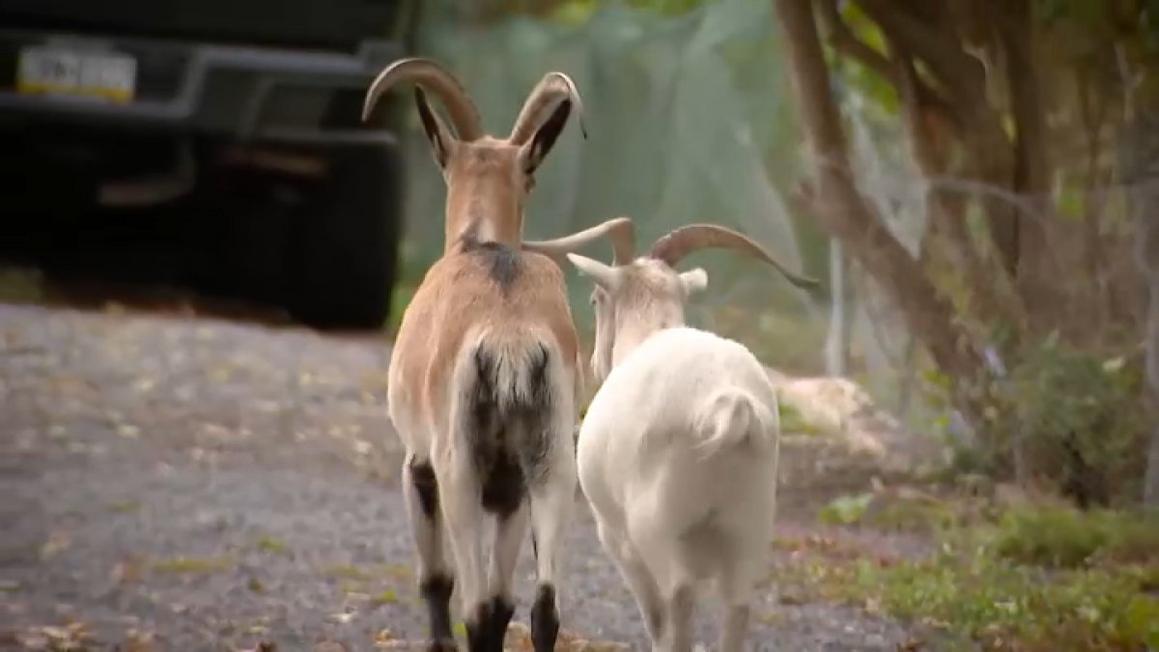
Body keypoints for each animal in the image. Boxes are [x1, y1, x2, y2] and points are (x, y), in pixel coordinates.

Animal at [362, 58, 635, 652]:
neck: (479, 247)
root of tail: (510, 338)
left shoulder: (420, 465)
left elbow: (438, 580)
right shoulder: (512, 489)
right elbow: (508, 602)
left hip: (460, 468)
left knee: (475, 603)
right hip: (553, 464)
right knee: (541, 606)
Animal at [560, 223, 818, 652]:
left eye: (596, 298)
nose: (594, 363)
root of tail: (729, 404)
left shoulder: (618, 538)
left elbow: (656, 617)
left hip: (657, 529)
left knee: (678, 602)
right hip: (748, 527)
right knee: (737, 608)